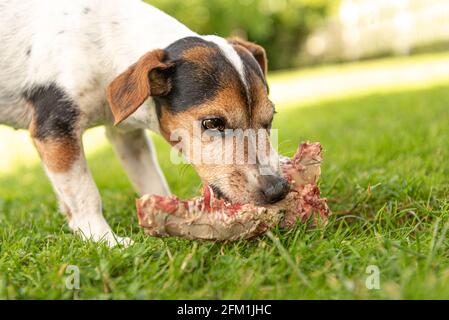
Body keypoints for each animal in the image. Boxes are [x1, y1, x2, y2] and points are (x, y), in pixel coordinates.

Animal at [0, 0, 288, 248]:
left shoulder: (127, 137)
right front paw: (105, 240)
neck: (103, 42)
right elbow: (85, 194)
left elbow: (151, 180)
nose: (278, 189)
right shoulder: (55, 128)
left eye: (270, 118)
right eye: (213, 123)